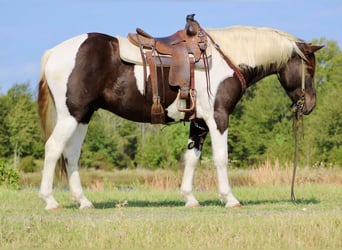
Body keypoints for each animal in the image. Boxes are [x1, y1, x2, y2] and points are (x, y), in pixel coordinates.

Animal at [37, 20, 324, 209]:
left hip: (83, 117)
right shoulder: (218, 118)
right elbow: (221, 158)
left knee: (71, 155)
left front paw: (189, 198)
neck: (226, 59)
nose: (310, 105)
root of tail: (54, 53)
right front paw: (229, 198)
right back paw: (50, 201)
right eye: (309, 70)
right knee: (53, 149)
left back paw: (83, 201)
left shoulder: (199, 123)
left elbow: (192, 159)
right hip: (71, 116)